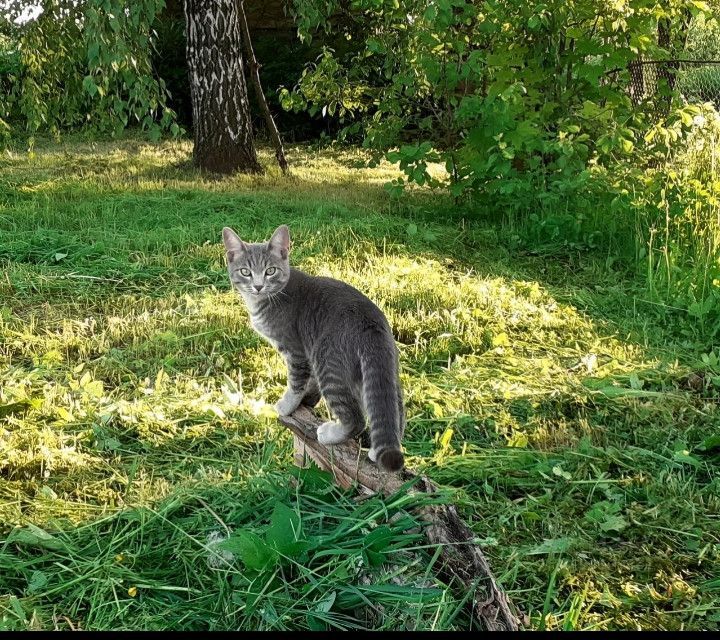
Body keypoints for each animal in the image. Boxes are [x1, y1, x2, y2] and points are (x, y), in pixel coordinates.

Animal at [222, 224, 404, 470]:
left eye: (270, 271)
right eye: (245, 272)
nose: (258, 286)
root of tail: (370, 322)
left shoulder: (296, 351)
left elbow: (295, 382)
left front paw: (287, 405)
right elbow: (309, 383)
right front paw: (307, 400)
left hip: (327, 362)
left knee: (355, 418)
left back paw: (332, 434)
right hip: (380, 370)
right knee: (393, 410)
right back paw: (378, 449)